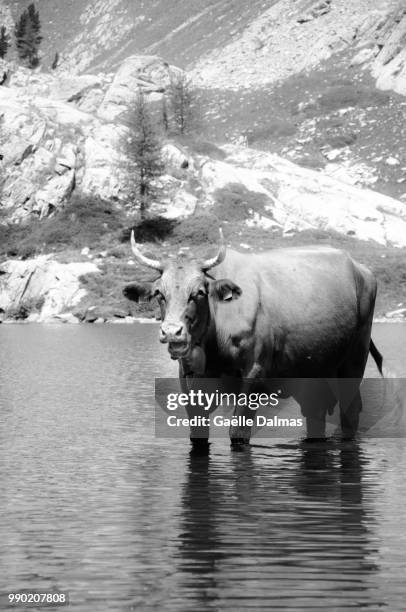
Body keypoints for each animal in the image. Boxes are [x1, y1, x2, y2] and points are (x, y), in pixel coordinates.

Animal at [123, 230, 384, 450]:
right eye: (159, 293)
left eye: (199, 293)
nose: (172, 332)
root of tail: (362, 270)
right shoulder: (188, 379)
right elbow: (197, 433)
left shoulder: (254, 373)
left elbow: (238, 433)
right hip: (313, 370)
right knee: (315, 411)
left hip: (354, 359)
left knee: (349, 411)